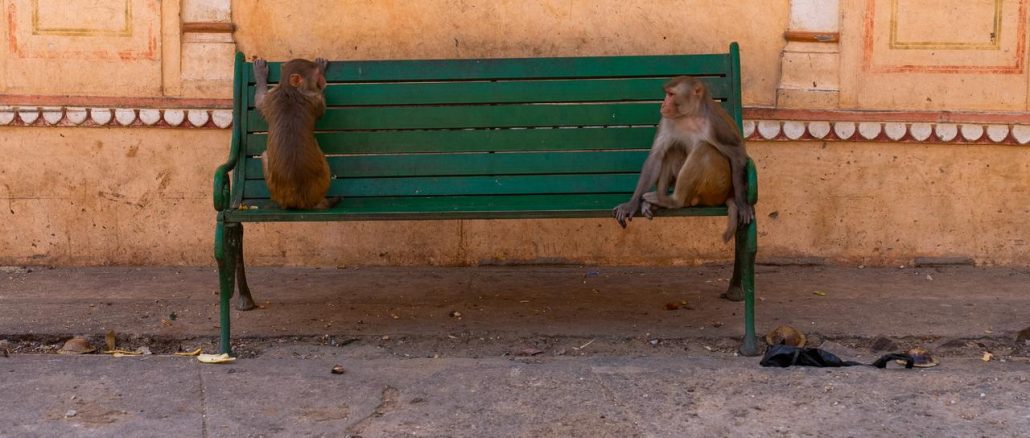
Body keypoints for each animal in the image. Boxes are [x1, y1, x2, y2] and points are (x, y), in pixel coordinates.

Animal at [253, 57, 338, 210]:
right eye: (317, 76)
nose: (323, 80)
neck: (290, 91)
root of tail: (301, 201)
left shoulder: (272, 95)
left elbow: (260, 104)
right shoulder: (314, 98)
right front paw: (260, 75)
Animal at [612, 76, 754, 230]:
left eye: (671, 94)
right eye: (667, 94)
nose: (663, 104)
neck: (690, 116)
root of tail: (728, 194)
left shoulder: (716, 124)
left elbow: (738, 154)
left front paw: (742, 204)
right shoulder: (667, 120)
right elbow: (656, 156)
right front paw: (632, 204)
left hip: (716, 189)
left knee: (704, 148)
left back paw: (674, 201)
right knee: (672, 150)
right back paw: (657, 201)